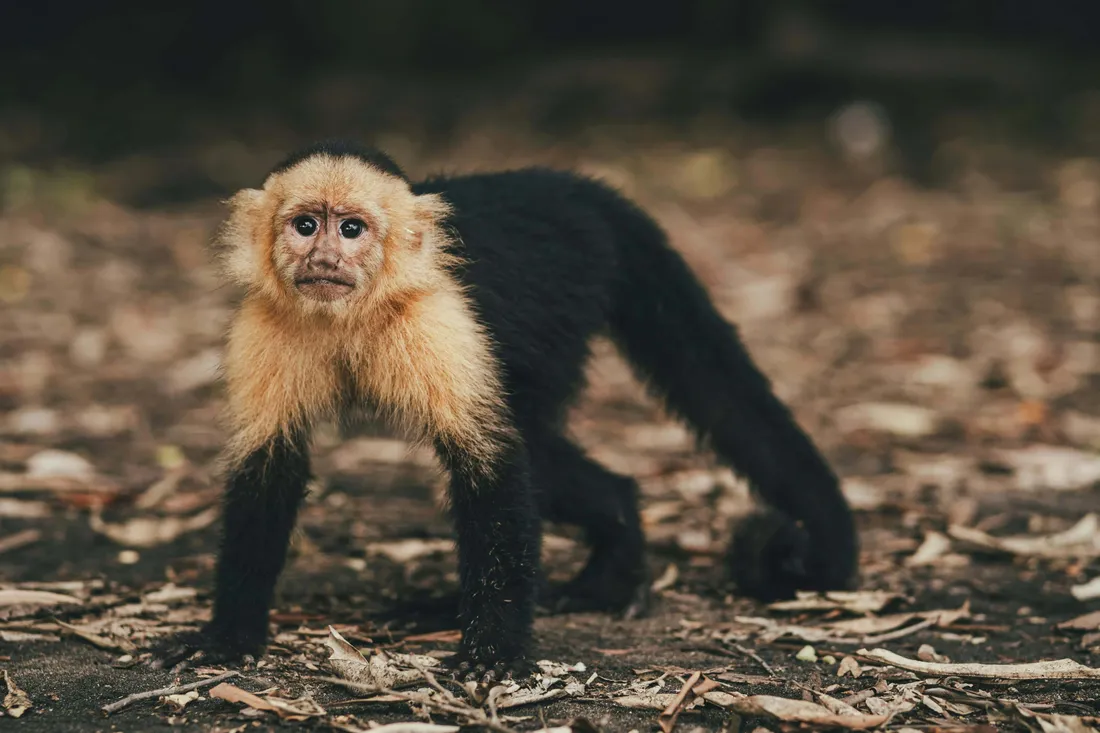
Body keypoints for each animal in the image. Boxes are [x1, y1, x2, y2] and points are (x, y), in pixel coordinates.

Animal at [149, 140, 858, 683]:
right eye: (305, 224)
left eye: (351, 228)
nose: (323, 257)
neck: (353, 312)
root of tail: (577, 190)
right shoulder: (266, 324)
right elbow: (270, 468)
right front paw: (228, 639)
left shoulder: (436, 318)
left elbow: (490, 464)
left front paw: (492, 653)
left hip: (564, 301)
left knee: (532, 445)